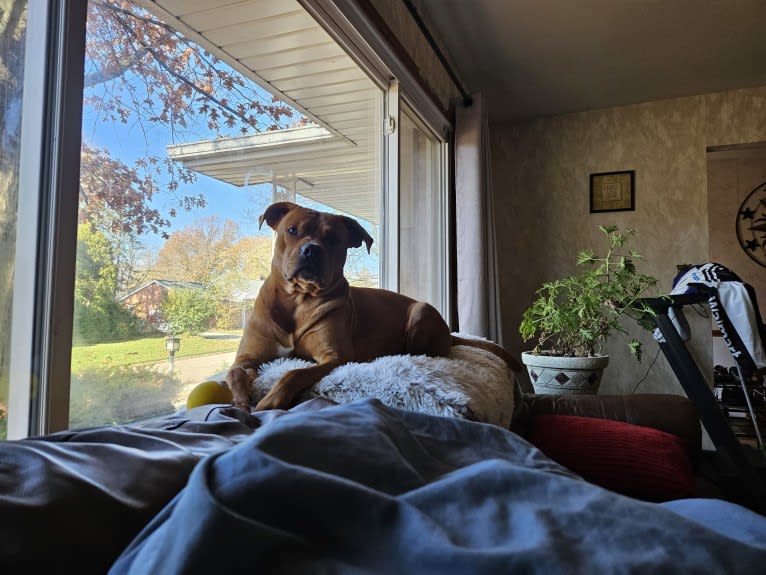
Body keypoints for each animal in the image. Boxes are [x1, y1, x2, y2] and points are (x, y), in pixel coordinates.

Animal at [225, 200, 524, 412]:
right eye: (292, 230)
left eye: (334, 239)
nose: (312, 249)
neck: (299, 300)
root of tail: (450, 335)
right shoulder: (248, 356)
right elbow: (234, 372)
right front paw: (240, 400)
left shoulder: (335, 356)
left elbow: (295, 372)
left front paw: (271, 400)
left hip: (421, 311)